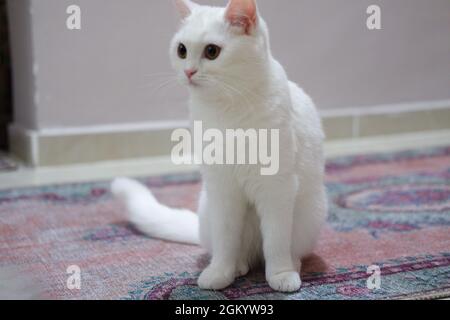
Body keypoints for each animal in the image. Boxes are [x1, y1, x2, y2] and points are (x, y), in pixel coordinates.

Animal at [112, 0, 326, 292]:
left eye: (212, 51)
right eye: (182, 50)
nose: (188, 71)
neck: (227, 108)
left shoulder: (277, 189)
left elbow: (276, 242)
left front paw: (280, 275)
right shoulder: (223, 189)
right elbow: (226, 243)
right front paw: (219, 274)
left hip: (309, 213)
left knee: (286, 250)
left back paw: (290, 266)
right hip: (210, 208)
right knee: (236, 251)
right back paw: (237, 267)